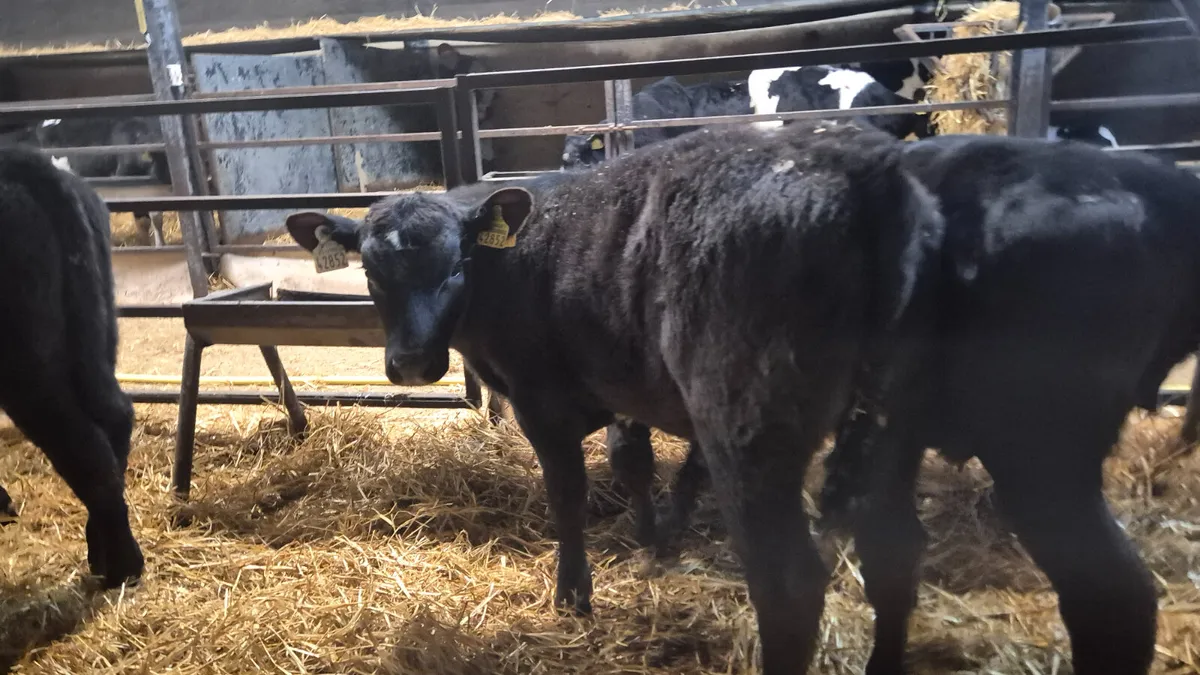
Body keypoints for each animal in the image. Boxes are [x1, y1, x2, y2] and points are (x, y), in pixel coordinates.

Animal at [286, 120, 942, 674]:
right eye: (370, 274)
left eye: (455, 267)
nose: (413, 363)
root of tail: (858, 169)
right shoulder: (623, 389)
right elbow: (633, 464)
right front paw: (647, 543)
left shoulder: (541, 402)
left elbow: (568, 496)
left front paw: (573, 594)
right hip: (893, 424)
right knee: (894, 551)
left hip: (751, 430)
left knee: (789, 582)